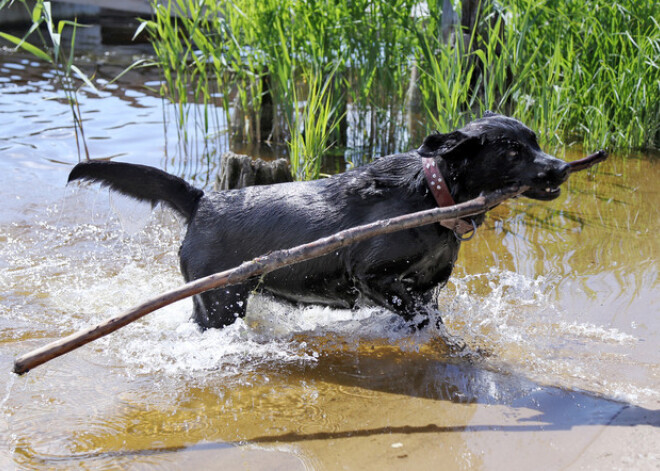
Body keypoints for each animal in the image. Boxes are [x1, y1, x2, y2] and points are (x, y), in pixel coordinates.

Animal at [69, 113, 568, 330]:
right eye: (512, 150)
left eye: (535, 141)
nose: (561, 168)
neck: (432, 196)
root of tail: (203, 201)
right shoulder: (373, 277)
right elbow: (415, 314)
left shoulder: (429, 286)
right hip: (222, 301)